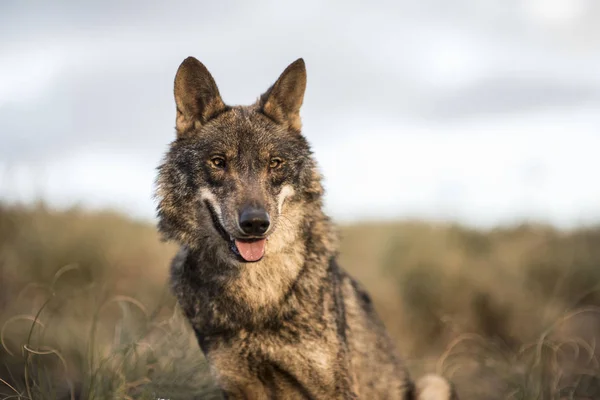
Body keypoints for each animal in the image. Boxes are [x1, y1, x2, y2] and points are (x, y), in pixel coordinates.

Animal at [155, 57, 454, 400]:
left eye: (275, 163)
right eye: (218, 162)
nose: (256, 223)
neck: (256, 293)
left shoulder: (332, 387)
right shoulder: (238, 386)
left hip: (435, 382)